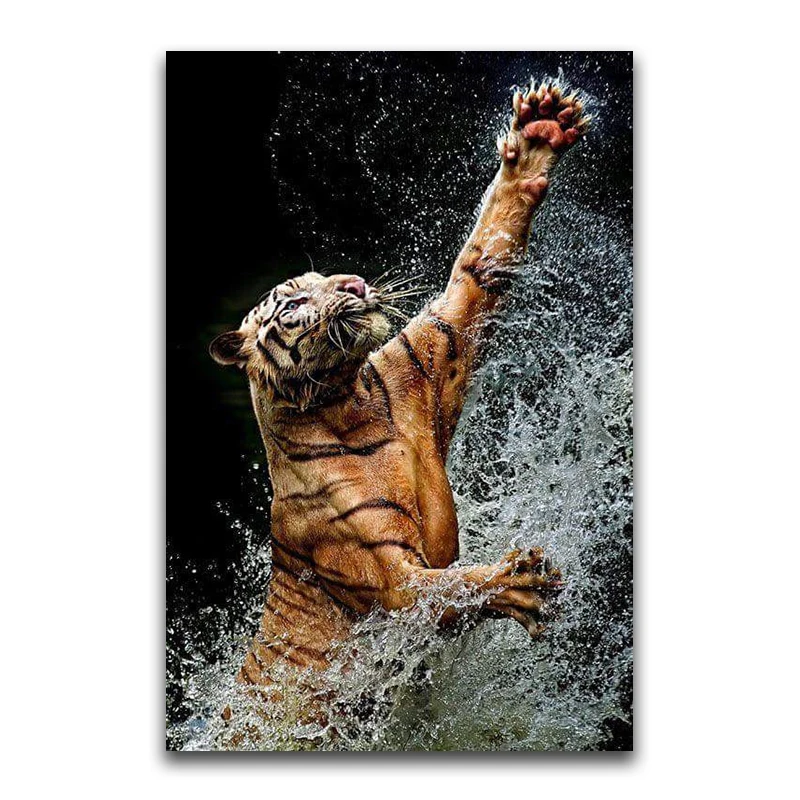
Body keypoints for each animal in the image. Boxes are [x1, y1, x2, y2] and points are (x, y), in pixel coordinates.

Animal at [210, 80, 590, 696]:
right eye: (295, 301)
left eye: (325, 277)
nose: (354, 282)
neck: (348, 400)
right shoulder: (391, 580)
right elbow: (450, 586)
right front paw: (520, 581)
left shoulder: (435, 348)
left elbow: (479, 261)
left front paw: (539, 133)